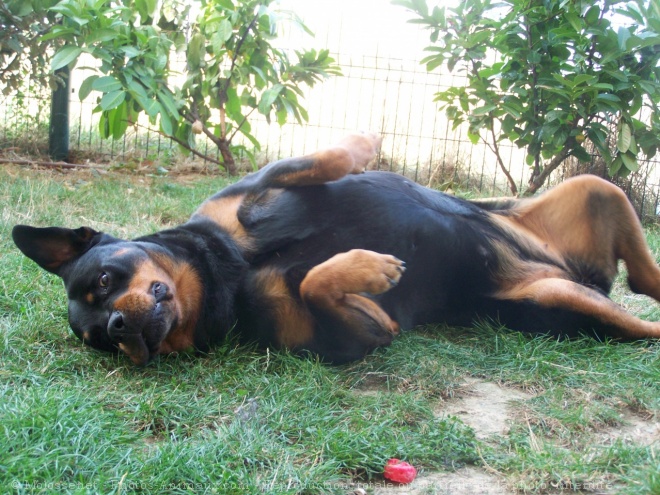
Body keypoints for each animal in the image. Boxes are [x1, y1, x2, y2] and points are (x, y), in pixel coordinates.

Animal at [9, 134, 660, 366]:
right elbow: (316, 283)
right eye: (100, 340)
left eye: (103, 280)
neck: (225, 274)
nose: (119, 326)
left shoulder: (255, 187)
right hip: (567, 301)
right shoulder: (356, 340)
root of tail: (578, 274)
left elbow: (316, 161)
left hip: (593, 188)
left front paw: (363, 147)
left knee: (643, 276)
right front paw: (365, 270)